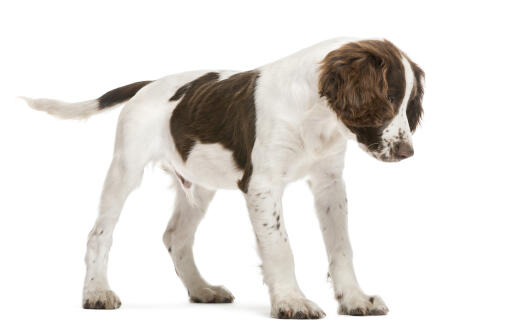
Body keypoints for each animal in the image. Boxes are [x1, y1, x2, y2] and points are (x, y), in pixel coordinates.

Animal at [22, 36, 424, 320]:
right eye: (387, 100)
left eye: (409, 105)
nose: (407, 153)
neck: (316, 117)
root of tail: (149, 84)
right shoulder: (262, 184)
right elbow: (280, 246)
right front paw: (291, 301)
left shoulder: (329, 183)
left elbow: (341, 247)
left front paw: (355, 299)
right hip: (125, 168)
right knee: (99, 234)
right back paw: (96, 293)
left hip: (198, 185)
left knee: (175, 237)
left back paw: (202, 289)